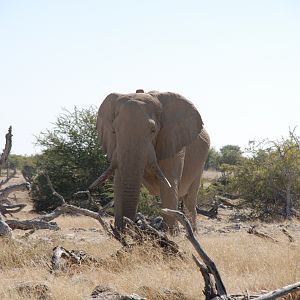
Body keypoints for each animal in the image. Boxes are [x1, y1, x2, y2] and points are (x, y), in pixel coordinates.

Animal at [92, 89, 210, 232]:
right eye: (114, 131)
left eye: (153, 130)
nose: (129, 225)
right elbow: (118, 182)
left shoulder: (173, 142)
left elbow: (169, 186)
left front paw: (172, 234)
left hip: (201, 164)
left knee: (190, 201)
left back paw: (193, 232)